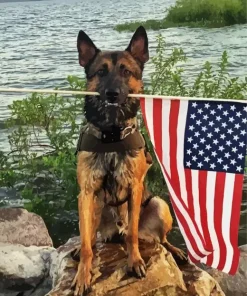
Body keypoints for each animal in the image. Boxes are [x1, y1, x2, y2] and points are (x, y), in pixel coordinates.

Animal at [72, 26, 186, 296]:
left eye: (126, 71)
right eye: (101, 72)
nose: (112, 94)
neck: (112, 134)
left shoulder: (135, 189)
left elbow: (132, 235)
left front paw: (134, 262)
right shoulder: (86, 193)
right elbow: (87, 243)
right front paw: (83, 275)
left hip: (159, 204)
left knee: (159, 240)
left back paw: (175, 251)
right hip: (94, 208)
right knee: (92, 238)